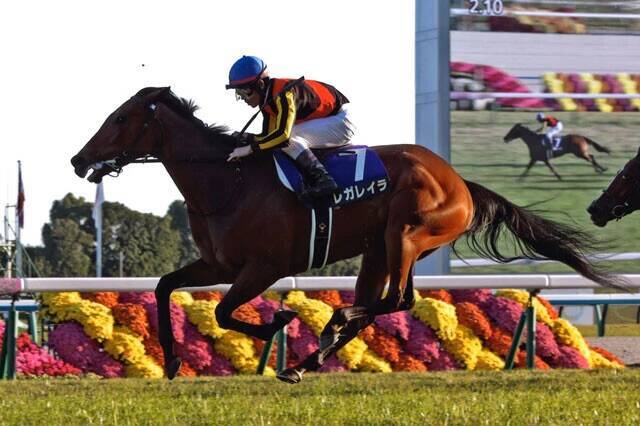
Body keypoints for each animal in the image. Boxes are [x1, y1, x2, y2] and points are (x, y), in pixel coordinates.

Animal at [71, 87, 624, 384]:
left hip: (407, 232)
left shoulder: (264, 267)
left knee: (397, 300)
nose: (79, 159)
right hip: (379, 249)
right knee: (380, 304)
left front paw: (281, 320)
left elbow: (226, 312)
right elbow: (166, 286)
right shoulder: (220, 264)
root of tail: (459, 181)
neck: (227, 180)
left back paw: (329, 326)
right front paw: (170, 360)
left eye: (120, 117)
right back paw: (310, 357)